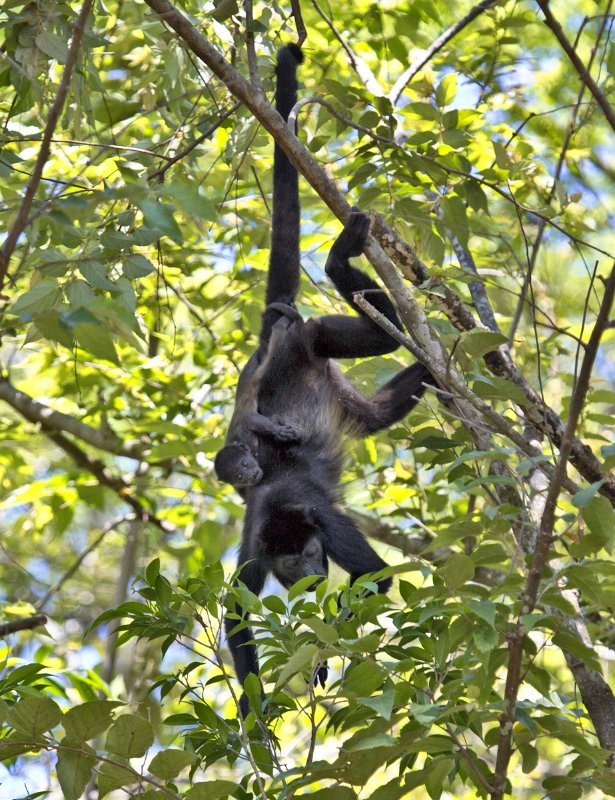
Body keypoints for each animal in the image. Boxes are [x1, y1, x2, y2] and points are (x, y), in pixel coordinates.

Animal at [223, 43, 434, 712]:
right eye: (290, 569)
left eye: (315, 554)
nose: (312, 578)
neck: (287, 507)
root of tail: (274, 346)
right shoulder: (255, 543)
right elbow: (234, 613)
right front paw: (257, 712)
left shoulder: (327, 519)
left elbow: (375, 578)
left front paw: (318, 652)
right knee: (374, 416)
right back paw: (431, 368)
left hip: (313, 337)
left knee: (376, 328)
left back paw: (344, 265)